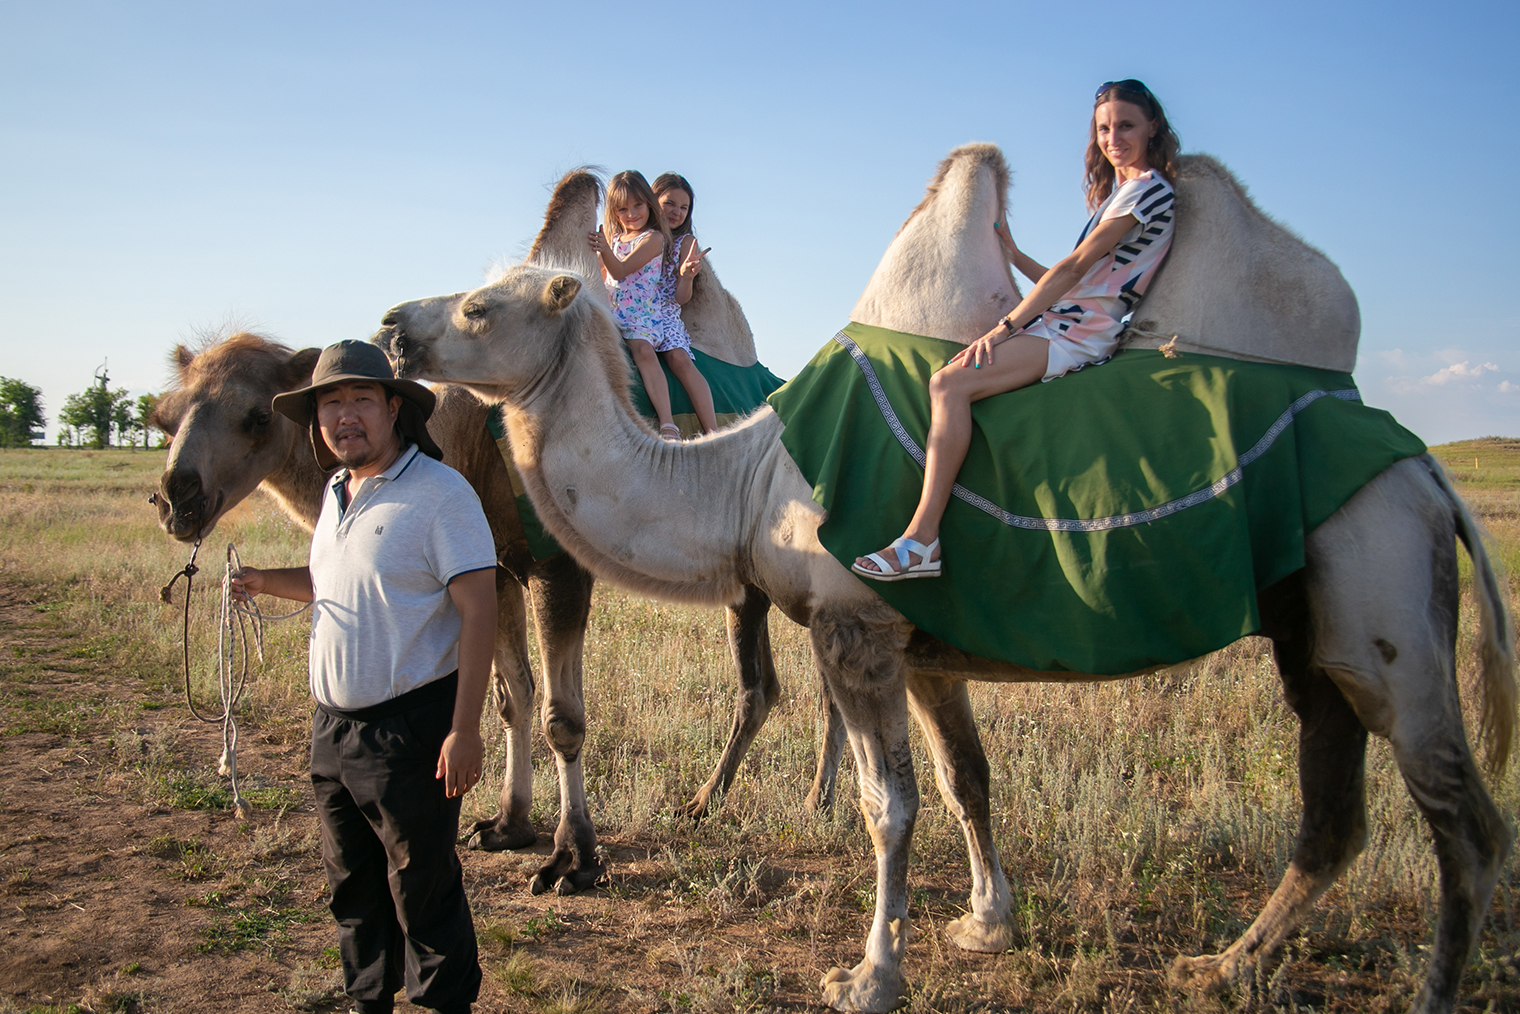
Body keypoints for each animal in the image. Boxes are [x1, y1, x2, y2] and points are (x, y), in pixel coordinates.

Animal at [373, 144, 1513, 1014]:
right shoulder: (925, 648)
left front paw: (868, 975)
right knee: (1336, 810)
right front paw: (984, 924)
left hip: (1383, 600)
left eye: (481, 308)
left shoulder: (856, 631)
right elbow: (967, 781)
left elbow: (890, 804)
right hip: (1311, 631)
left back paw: (1428, 992)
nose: (389, 326)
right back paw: (1225, 964)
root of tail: (1426, 471)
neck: (740, 482)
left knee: (1459, 817)